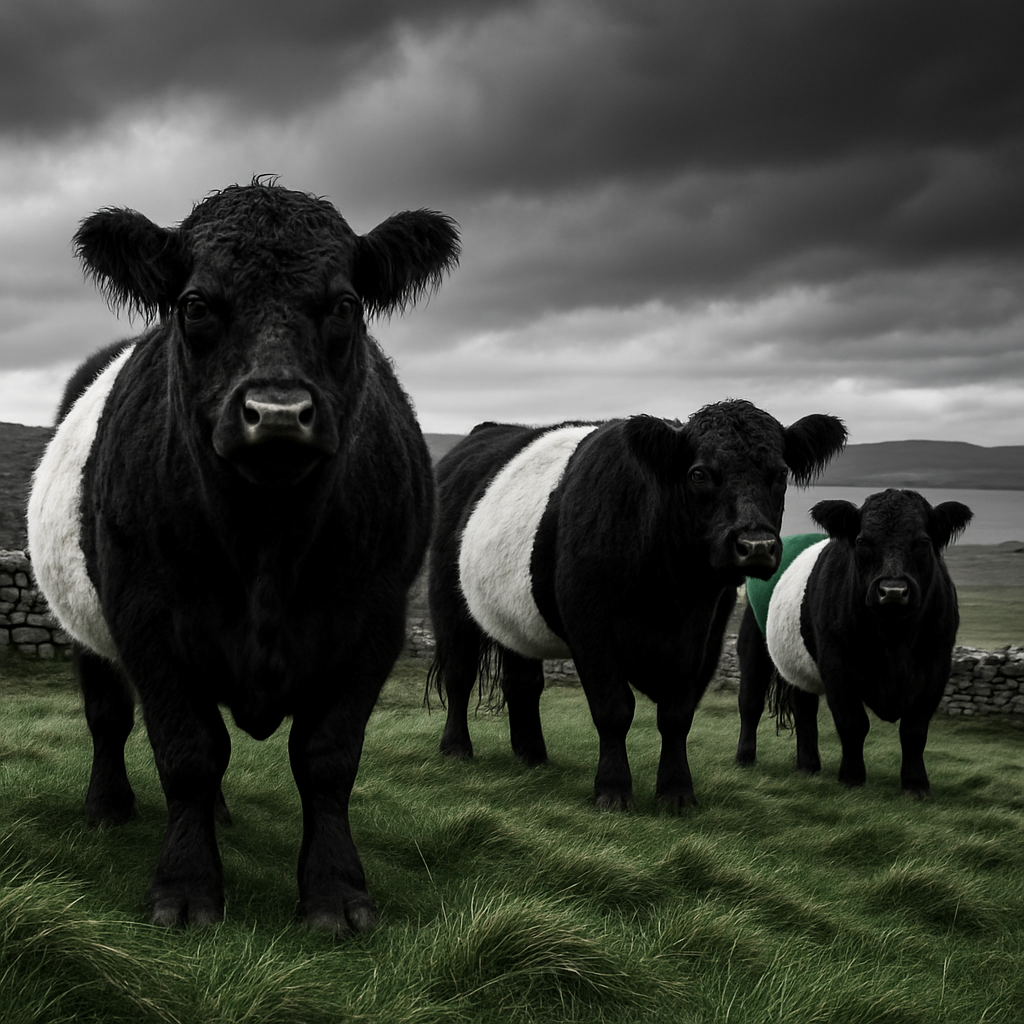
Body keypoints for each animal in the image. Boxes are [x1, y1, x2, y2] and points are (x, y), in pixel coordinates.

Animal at [26, 179, 459, 931]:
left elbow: (327, 758)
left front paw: (336, 895)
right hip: (82, 624)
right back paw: (108, 807)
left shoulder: (374, 622)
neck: (267, 542)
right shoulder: (146, 617)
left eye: (345, 304)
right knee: (108, 715)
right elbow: (188, 751)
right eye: (196, 304)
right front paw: (186, 890)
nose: (278, 413)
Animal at [427, 401, 847, 811]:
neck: (668, 594)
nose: (756, 546)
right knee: (460, 673)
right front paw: (612, 790)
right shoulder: (589, 626)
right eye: (698, 474)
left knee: (522, 681)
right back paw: (456, 748)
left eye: (780, 474)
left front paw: (677, 793)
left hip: (515, 617)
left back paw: (532, 755)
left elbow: (678, 715)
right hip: (449, 602)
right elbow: (614, 708)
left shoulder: (705, 634)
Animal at [735, 489, 973, 797]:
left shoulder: (936, 667)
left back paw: (808, 765)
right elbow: (853, 723)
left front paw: (916, 784)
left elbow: (914, 730)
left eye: (923, 542)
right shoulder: (837, 665)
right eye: (862, 541)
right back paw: (745, 758)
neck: (893, 638)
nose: (892, 591)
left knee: (804, 708)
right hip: (753, 641)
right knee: (750, 701)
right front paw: (852, 777)